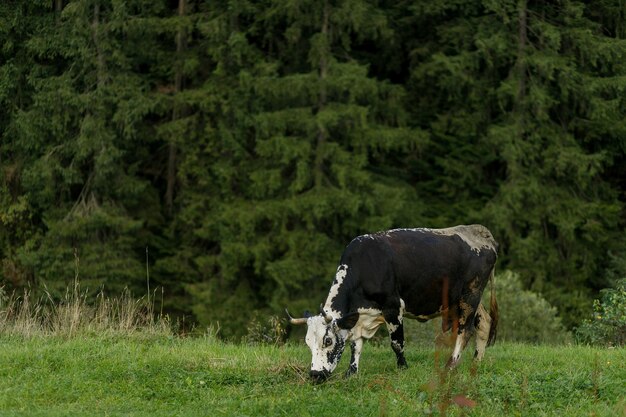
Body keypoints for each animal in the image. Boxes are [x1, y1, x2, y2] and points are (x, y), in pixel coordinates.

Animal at [286, 224, 498, 380]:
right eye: (307, 342)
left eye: (328, 340)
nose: (315, 375)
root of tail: (480, 231)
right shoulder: (359, 317)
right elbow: (356, 345)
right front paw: (351, 373)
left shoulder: (393, 307)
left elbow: (397, 343)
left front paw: (402, 367)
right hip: (465, 300)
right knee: (484, 323)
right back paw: (476, 363)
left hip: (470, 296)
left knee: (465, 330)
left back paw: (451, 366)